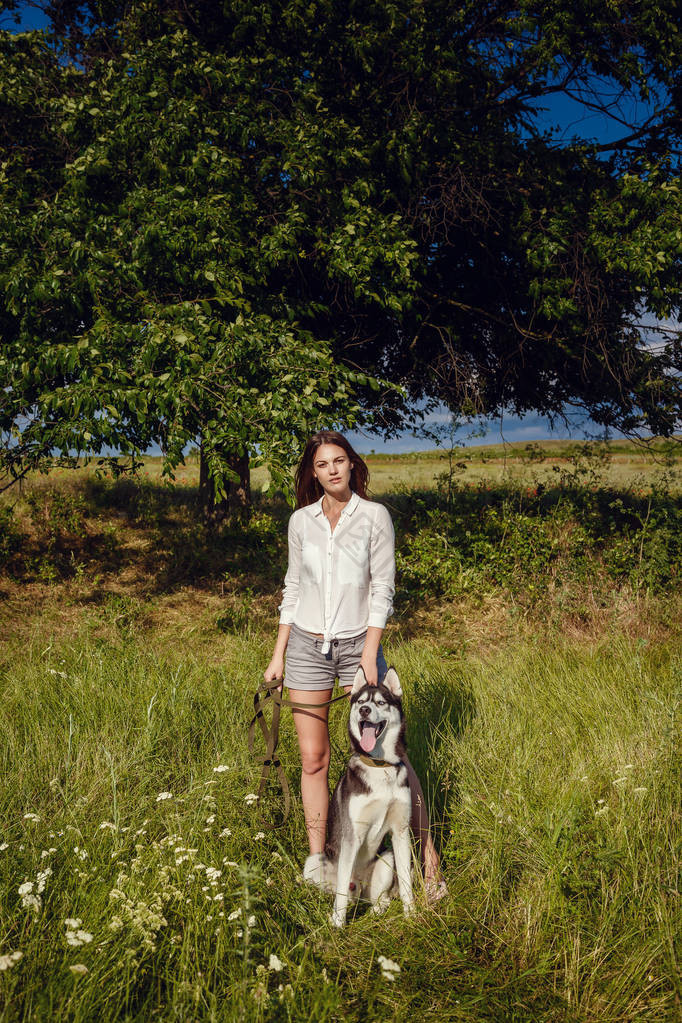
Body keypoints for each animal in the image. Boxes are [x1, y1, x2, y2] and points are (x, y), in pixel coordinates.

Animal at [304, 662, 417, 928]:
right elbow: (341, 893)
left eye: (381, 702)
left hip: (386, 858)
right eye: (361, 702)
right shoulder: (351, 836)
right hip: (314, 863)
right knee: (341, 891)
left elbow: (406, 883)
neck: (380, 766)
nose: (365, 710)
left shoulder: (400, 831)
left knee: (378, 899)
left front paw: (413, 916)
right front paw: (337, 925)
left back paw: (377, 910)